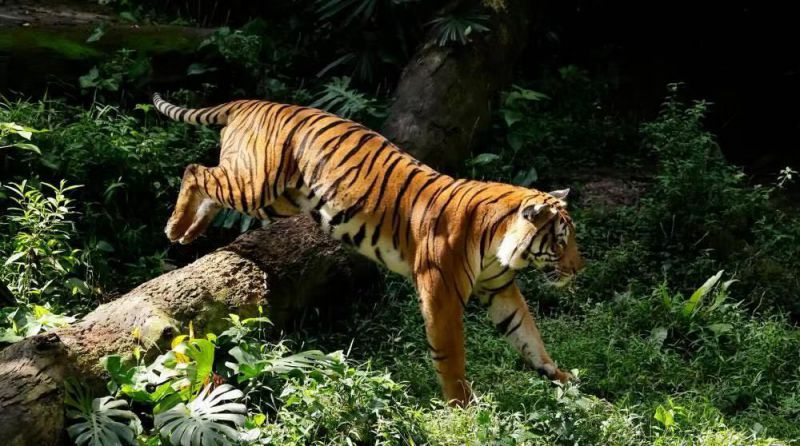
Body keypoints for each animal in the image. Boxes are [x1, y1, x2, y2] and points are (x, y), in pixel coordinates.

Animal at [153, 93, 585, 406]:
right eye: (561, 241)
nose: (579, 269)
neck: (500, 243)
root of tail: (251, 102)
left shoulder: (499, 288)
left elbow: (528, 335)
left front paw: (560, 377)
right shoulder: (441, 292)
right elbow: (451, 353)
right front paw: (461, 405)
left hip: (276, 199)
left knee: (208, 186)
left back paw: (188, 233)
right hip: (255, 184)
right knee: (195, 171)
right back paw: (174, 228)